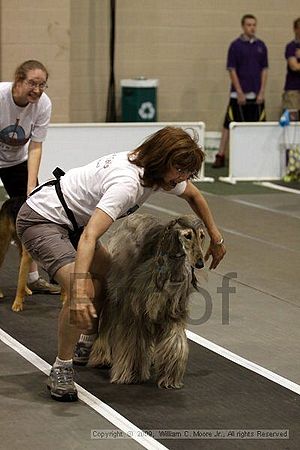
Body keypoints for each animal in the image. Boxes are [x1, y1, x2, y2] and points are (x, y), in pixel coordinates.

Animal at [89, 214, 205, 386]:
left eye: (202, 236)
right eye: (188, 235)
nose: (200, 263)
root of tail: (134, 216)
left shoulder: (172, 310)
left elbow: (176, 340)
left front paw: (170, 375)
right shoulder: (137, 309)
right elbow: (133, 341)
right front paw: (131, 373)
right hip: (115, 290)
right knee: (107, 322)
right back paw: (101, 356)